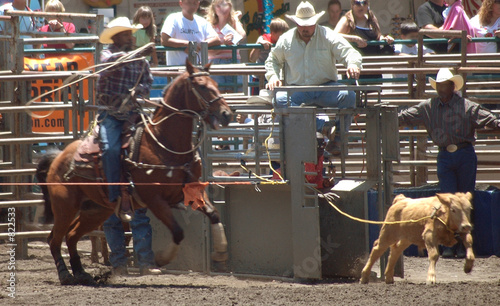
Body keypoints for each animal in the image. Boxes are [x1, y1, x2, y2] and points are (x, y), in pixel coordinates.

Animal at [36, 61, 233, 286]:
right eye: (201, 86)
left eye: (215, 83)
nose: (226, 114)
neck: (163, 142)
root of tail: (58, 157)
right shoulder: (154, 199)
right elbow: (178, 231)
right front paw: (161, 259)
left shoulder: (192, 191)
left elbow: (214, 214)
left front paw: (221, 252)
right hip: (65, 206)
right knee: (54, 239)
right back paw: (65, 275)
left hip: (95, 210)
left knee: (71, 236)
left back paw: (81, 273)